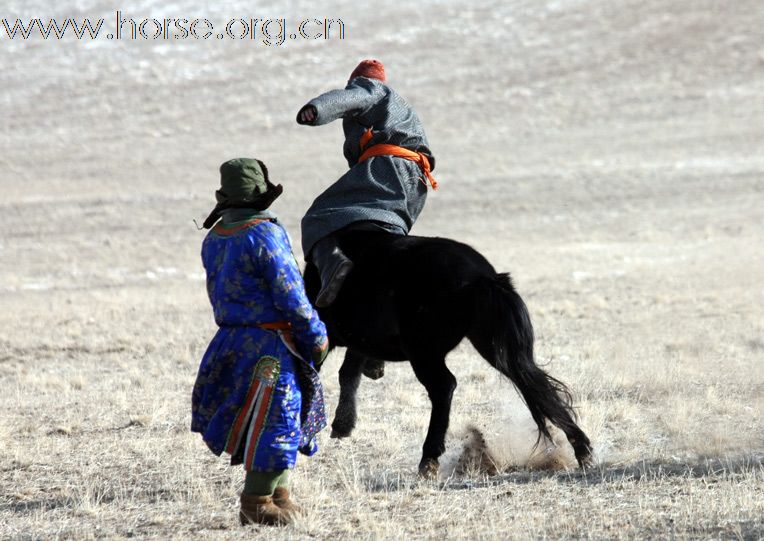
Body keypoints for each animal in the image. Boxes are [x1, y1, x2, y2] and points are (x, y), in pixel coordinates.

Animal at [302, 229, 592, 476]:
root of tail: (484, 277)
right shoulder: (357, 341)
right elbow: (347, 372)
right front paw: (342, 424)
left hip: (423, 352)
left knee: (444, 386)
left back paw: (429, 459)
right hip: (491, 345)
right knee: (532, 382)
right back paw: (583, 450)